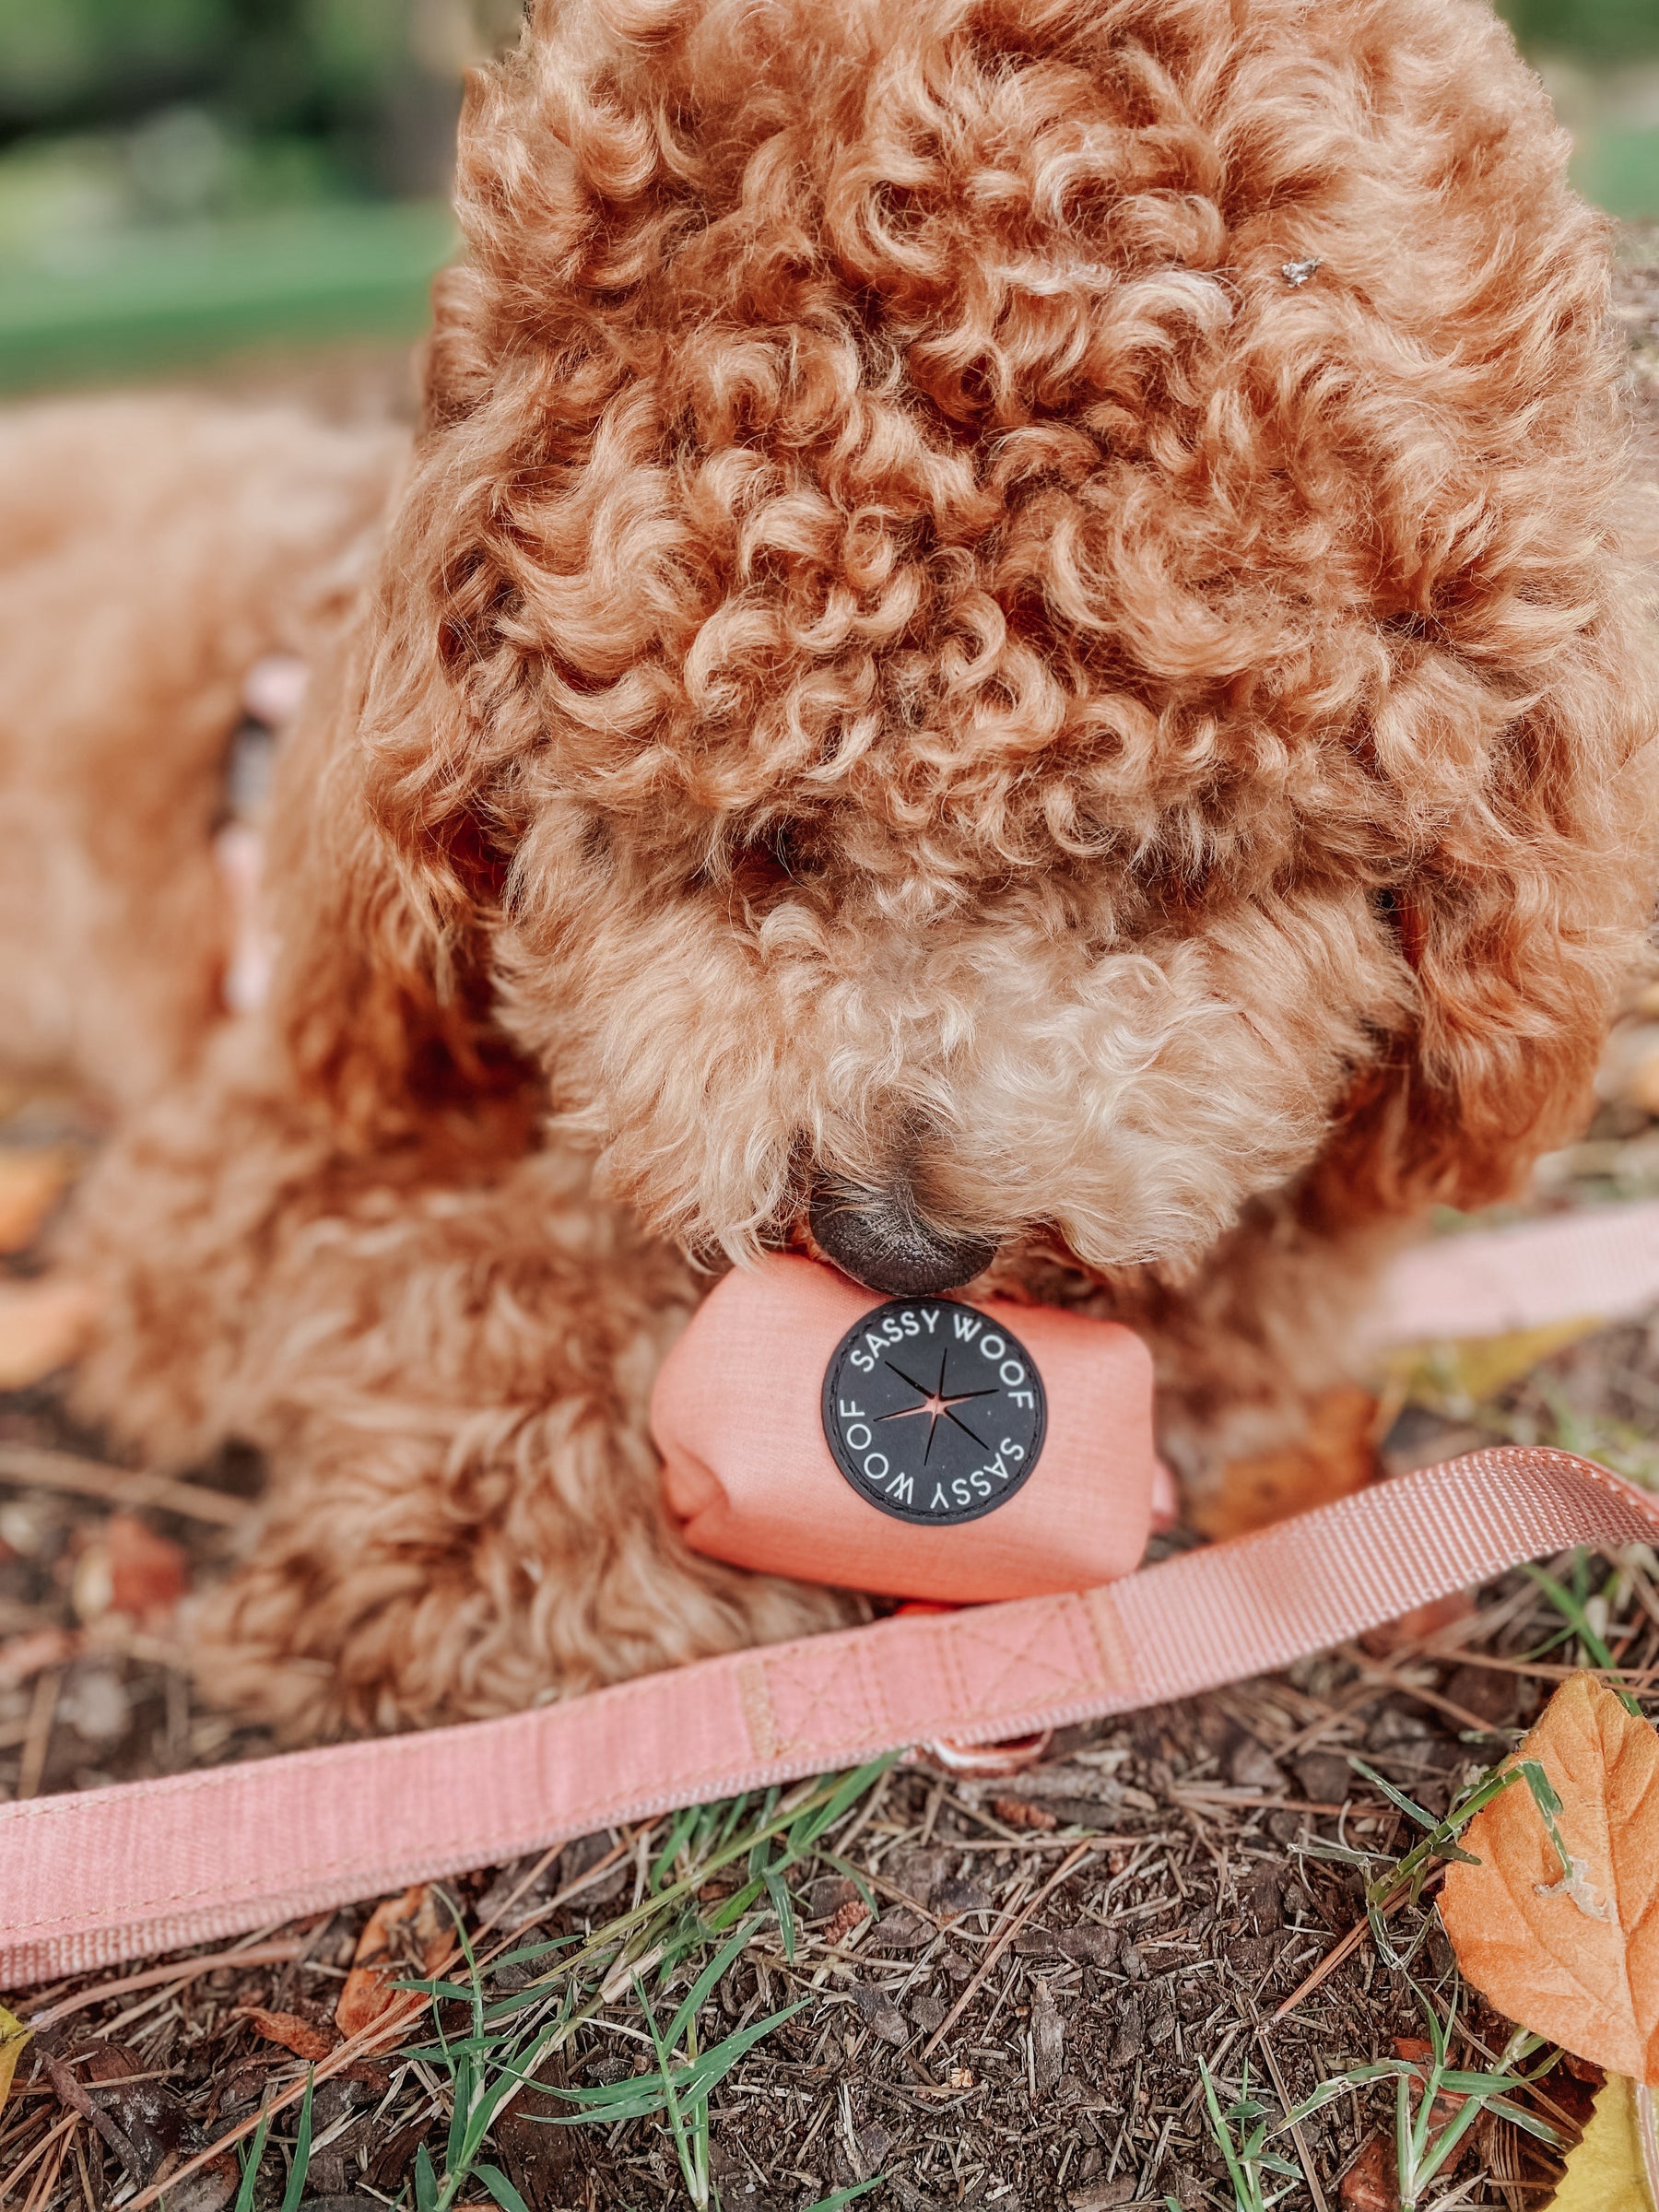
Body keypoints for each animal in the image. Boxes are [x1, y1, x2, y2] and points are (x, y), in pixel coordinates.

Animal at [0, 0, 1654, 1734]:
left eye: (1173, 862)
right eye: (763, 835)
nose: (894, 1249)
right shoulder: (250, 1157)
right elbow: (483, 1277)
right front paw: (486, 1546)